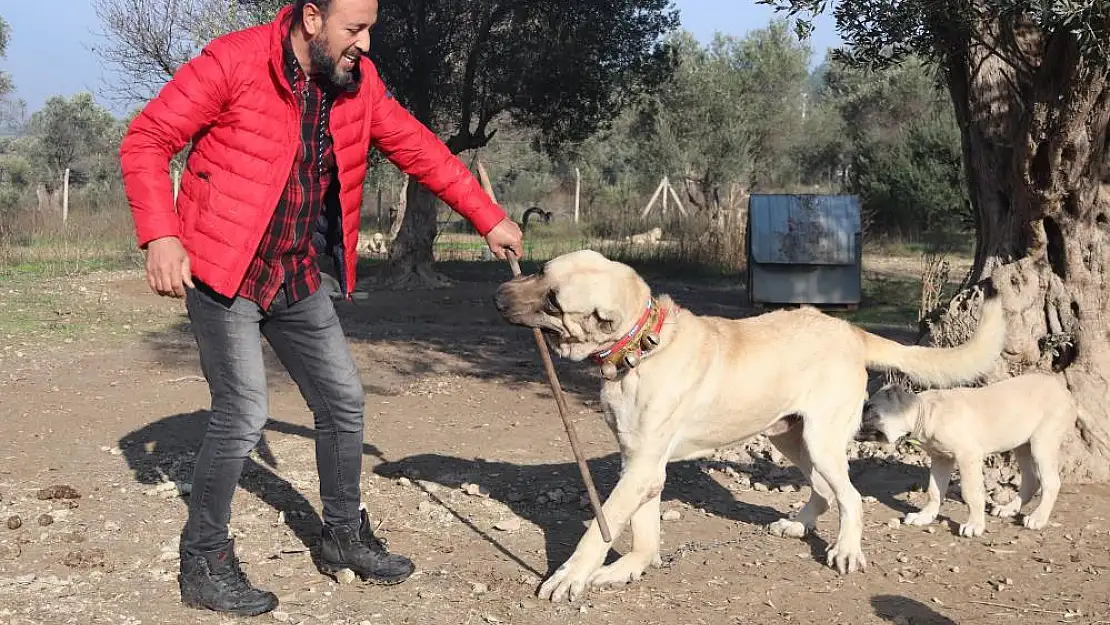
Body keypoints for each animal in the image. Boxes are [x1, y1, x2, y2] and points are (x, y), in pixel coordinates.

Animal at [495, 251, 1007, 603]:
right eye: (540, 271)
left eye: (554, 301)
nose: (498, 296)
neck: (641, 346)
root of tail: (850, 331)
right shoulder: (639, 463)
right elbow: (641, 529)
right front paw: (631, 567)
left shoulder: (641, 467)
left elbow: (599, 531)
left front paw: (570, 576)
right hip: (789, 436)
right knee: (824, 492)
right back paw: (798, 524)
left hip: (821, 440)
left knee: (851, 497)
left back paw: (845, 550)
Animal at [856, 370, 1074, 537]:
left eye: (869, 409)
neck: (927, 413)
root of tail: (1065, 391)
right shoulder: (941, 459)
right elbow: (934, 491)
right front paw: (925, 516)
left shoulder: (968, 457)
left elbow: (972, 493)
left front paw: (974, 525)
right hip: (1022, 444)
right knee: (1031, 480)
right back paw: (1009, 509)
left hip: (1042, 443)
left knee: (1051, 483)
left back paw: (1038, 518)